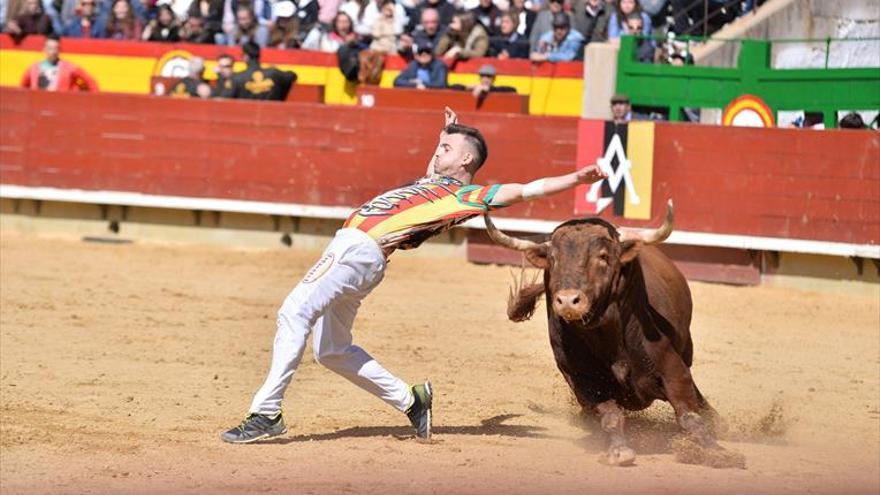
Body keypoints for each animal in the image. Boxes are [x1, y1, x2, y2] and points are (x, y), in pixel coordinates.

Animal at [484, 202, 724, 464]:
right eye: (553, 259)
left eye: (603, 257)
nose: (567, 300)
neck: (608, 336)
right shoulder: (584, 382)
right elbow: (610, 417)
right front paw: (619, 450)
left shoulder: (673, 370)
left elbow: (689, 415)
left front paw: (715, 450)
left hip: (686, 350)